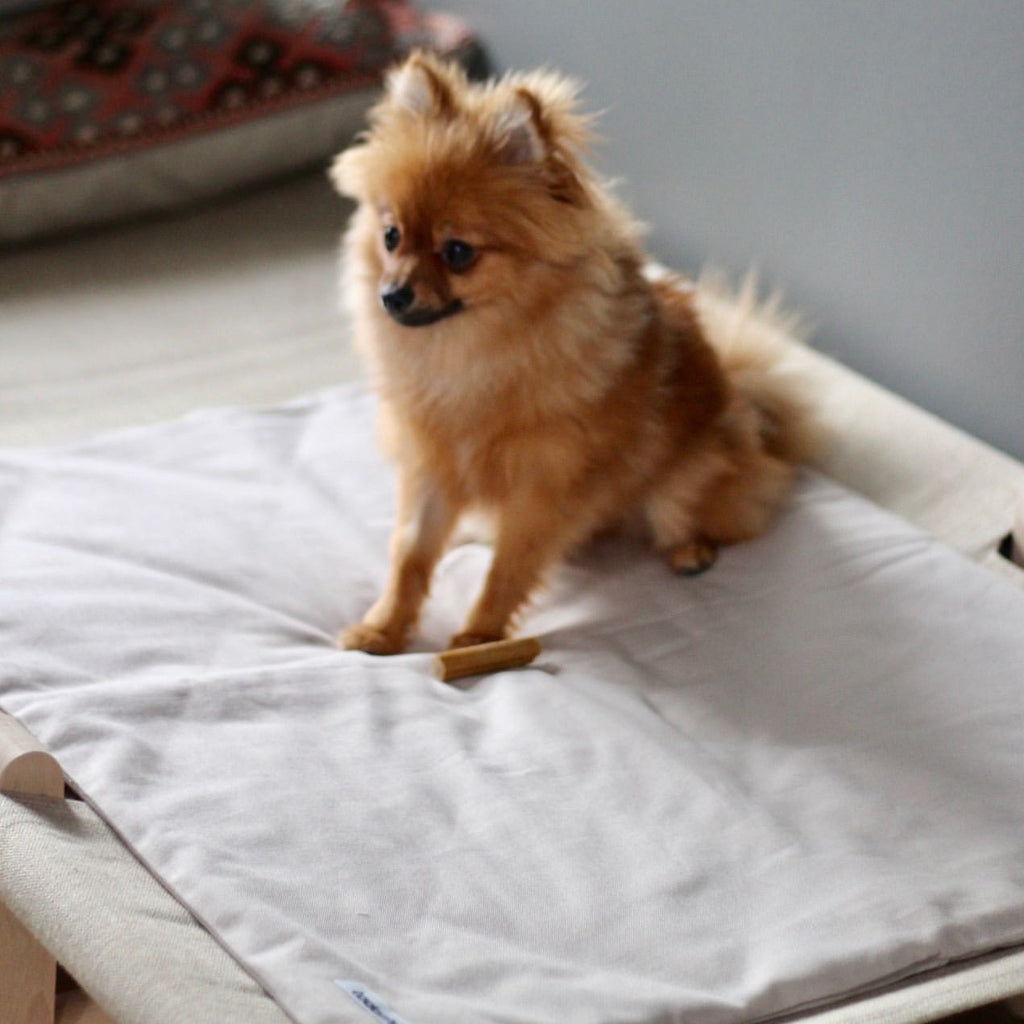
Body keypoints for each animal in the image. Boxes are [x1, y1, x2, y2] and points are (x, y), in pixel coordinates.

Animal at [330, 52, 818, 655]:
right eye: (391, 236)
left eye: (458, 252)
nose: (392, 294)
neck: (469, 355)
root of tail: (746, 403)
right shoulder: (430, 465)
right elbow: (410, 554)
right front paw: (383, 627)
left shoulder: (545, 485)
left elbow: (509, 567)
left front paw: (477, 641)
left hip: (684, 485)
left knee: (709, 515)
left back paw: (691, 550)